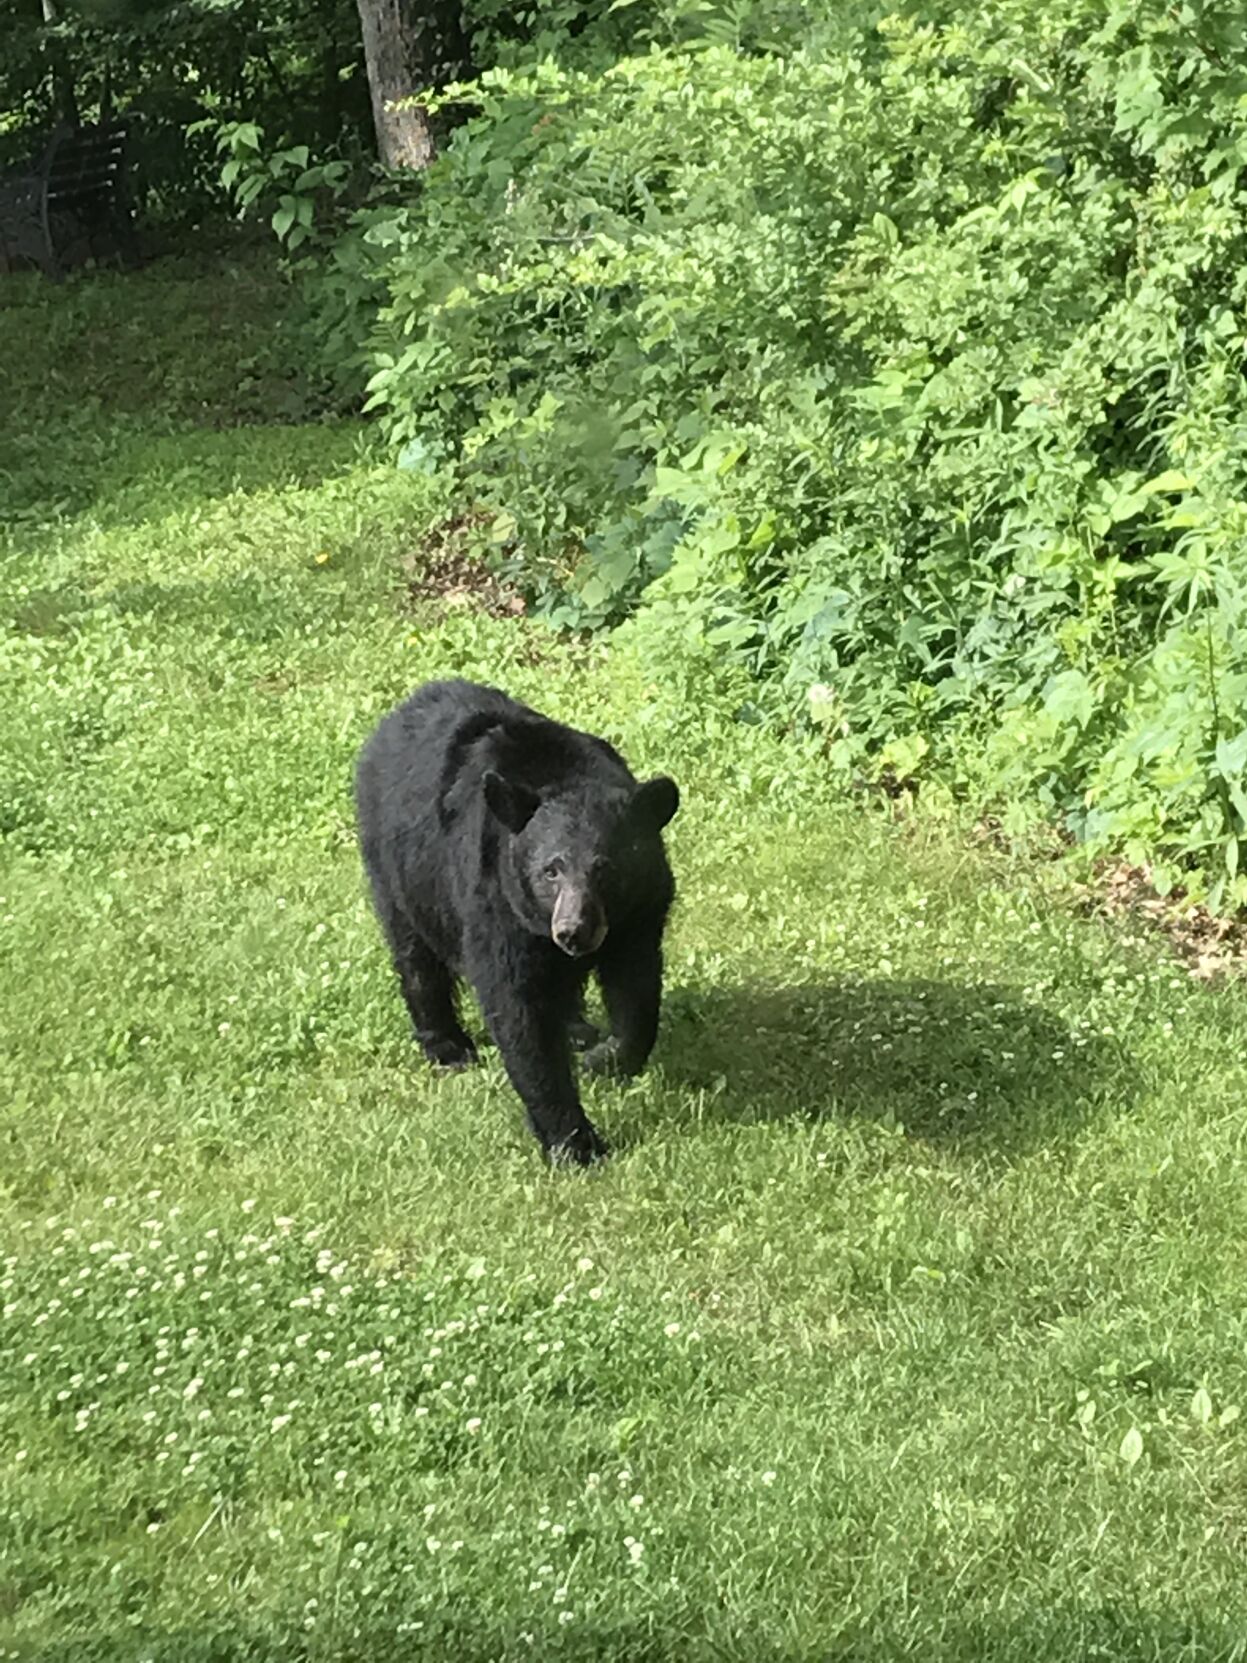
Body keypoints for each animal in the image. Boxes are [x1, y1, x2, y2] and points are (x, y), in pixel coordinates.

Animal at [355, 681, 678, 1164]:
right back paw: (447, 1046)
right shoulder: (496, 905)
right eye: (550, 870)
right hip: (398, 871)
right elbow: (518, 1011)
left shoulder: (639, 912)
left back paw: (577, 1030)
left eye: (605, 868)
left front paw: (606, 1058)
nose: (573, 931)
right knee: (415, 956)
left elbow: (636, 988)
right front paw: (575, 1143)